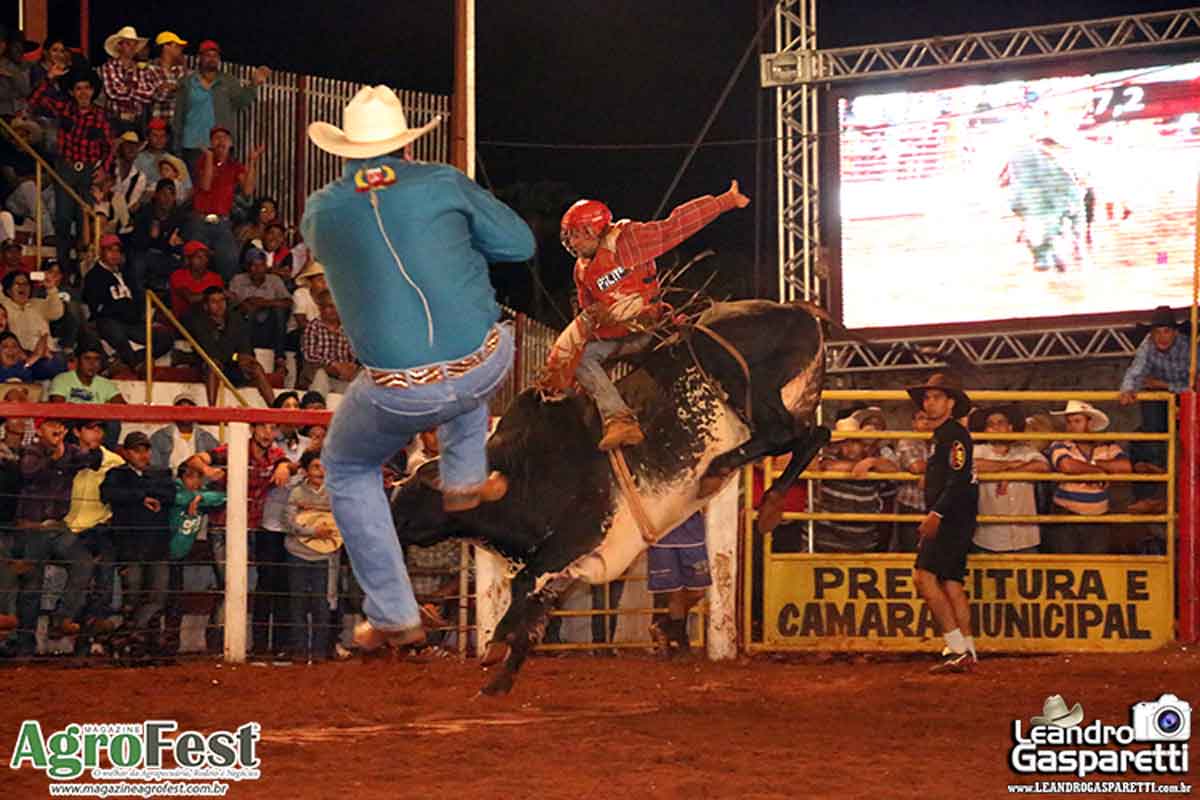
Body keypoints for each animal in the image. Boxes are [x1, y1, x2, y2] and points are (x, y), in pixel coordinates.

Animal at [388, 299, 830, 695]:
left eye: (415, 491)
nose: (383, 521)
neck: (524, 470)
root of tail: (802, 312)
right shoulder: (566, 567)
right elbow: (533, 617)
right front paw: (499, 680)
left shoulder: (575, 538)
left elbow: (523, 587)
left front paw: (495, 645)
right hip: (797, 399)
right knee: (813, 435)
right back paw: (770, 503)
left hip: (739, 380)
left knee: (782, 434)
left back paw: (719, 470)